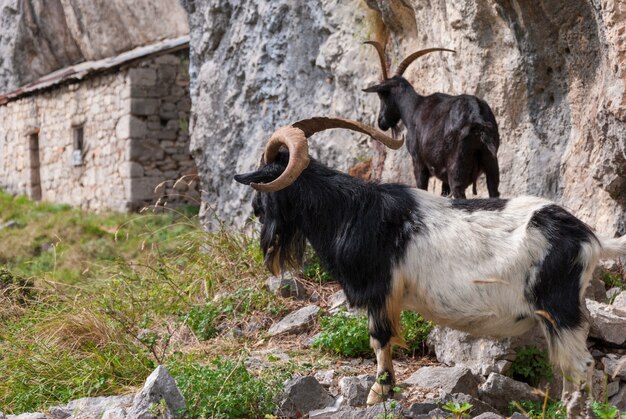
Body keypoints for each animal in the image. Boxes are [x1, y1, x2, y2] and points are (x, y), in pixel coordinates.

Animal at [360, 41, 498, 199]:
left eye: (382, 95)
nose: (381, 121)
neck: (414, 109)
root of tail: (477, 116)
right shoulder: (443, 176)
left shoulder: (419, 164)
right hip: (492, 164)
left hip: (457, 168)